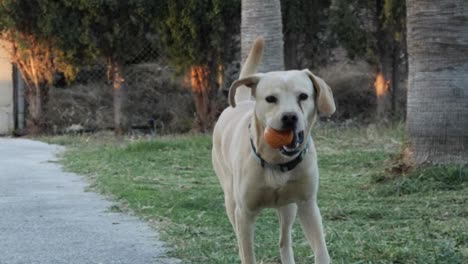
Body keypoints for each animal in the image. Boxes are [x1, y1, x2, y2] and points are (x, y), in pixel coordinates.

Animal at [212, 37, 336, 264]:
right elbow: (247, 254)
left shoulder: (307, 205)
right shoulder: (244, 213)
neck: (276, 161)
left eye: (303, 96)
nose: (289, 117)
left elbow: (321, 251)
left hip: (288, 207)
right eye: (270, 99)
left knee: (284, 240)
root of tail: (242, 101)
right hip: (230, 201)